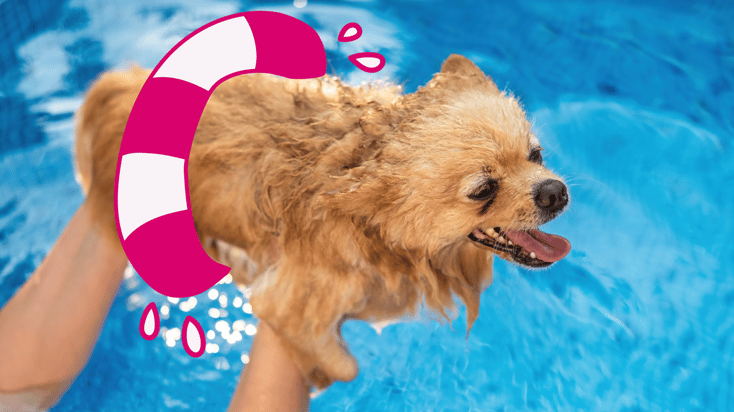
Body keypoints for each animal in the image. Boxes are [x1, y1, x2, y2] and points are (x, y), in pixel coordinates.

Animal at [75, 54, 572, 386]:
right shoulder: (290, 302)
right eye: (483, 190)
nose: (555, 191)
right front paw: (320, 374)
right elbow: (345, 367)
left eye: (536, 155)